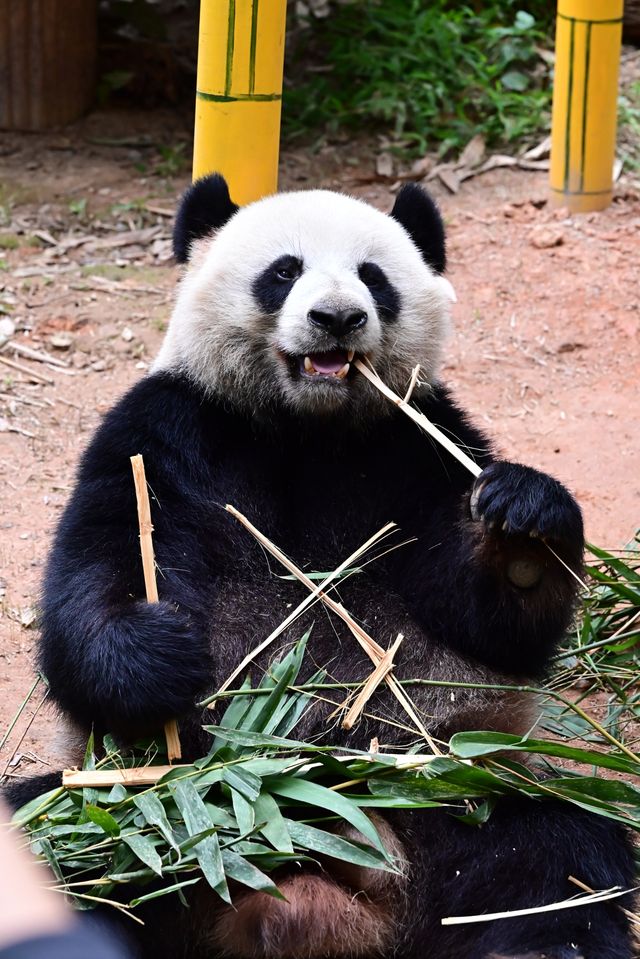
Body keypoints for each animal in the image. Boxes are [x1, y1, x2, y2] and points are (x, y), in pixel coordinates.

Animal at [5, 174, 636, 959]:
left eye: (374, 276)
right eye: (284, 271)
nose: (337, 316)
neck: (307, 425)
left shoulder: (416, 445)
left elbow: (488, 621)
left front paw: (521, 533)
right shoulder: (170, 431)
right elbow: (100, 570)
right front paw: (156, 650)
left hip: (455, 788)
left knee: (557, 865)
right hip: (126, 804)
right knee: (61, 848)